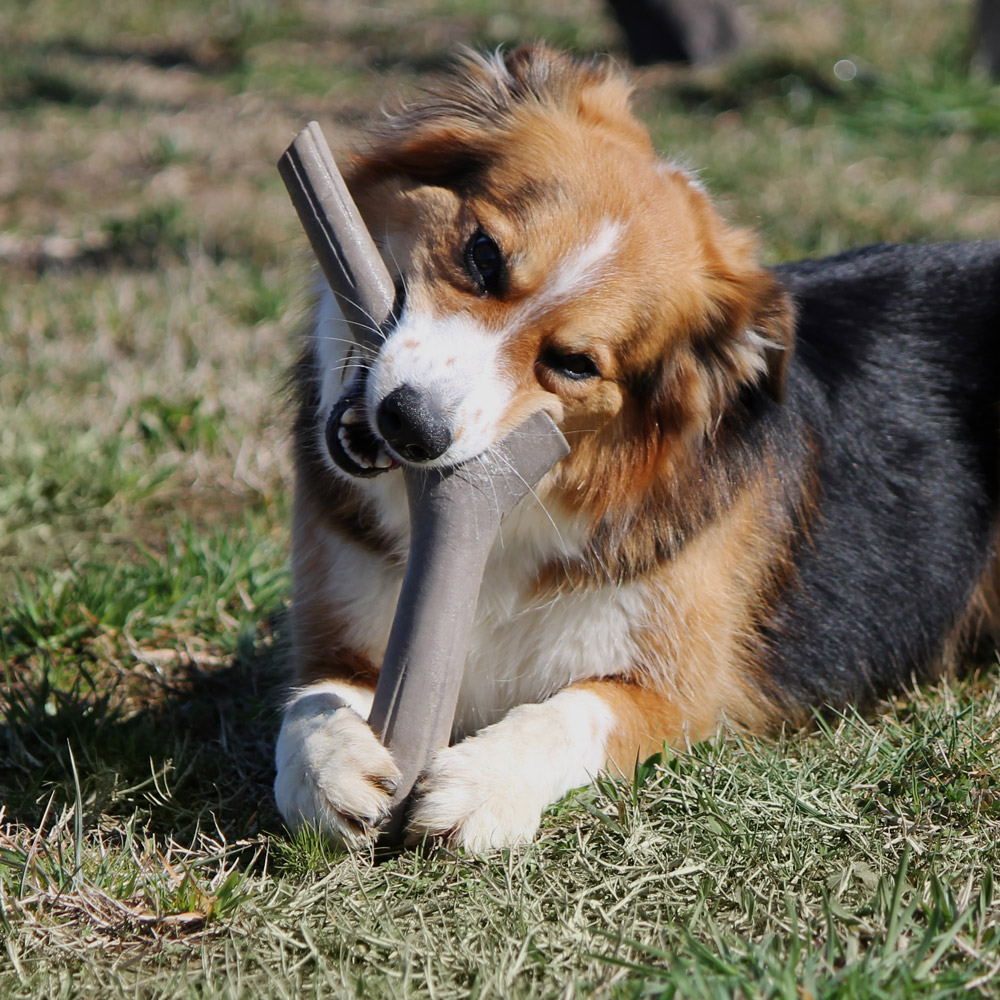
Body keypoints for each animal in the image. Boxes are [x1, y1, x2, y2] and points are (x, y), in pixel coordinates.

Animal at [272, 43, 1000, 848]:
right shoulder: (339, 638)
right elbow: (305, 708)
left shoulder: (681, 694)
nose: (410, 423)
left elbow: (571, 710)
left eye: (574, 364)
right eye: (484, 256)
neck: (530, 502)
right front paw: (332, 770)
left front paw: (483, 784)